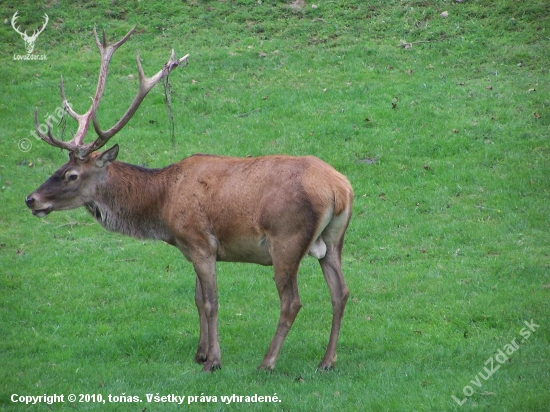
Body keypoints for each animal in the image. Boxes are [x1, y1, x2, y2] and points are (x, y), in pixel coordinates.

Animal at [24, 26, 354, 374]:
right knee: (341, 292)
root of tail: (340, 188)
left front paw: (214, 361)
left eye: (72, 175)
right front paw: (200, 354)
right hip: (334, 238)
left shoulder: (200, 241)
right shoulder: (192, 248)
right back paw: (327, 361)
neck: (162, 206)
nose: (31, 199)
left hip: (286, 238)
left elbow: (211, 302)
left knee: (292, 301)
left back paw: (267, 362)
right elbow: (197, 299)